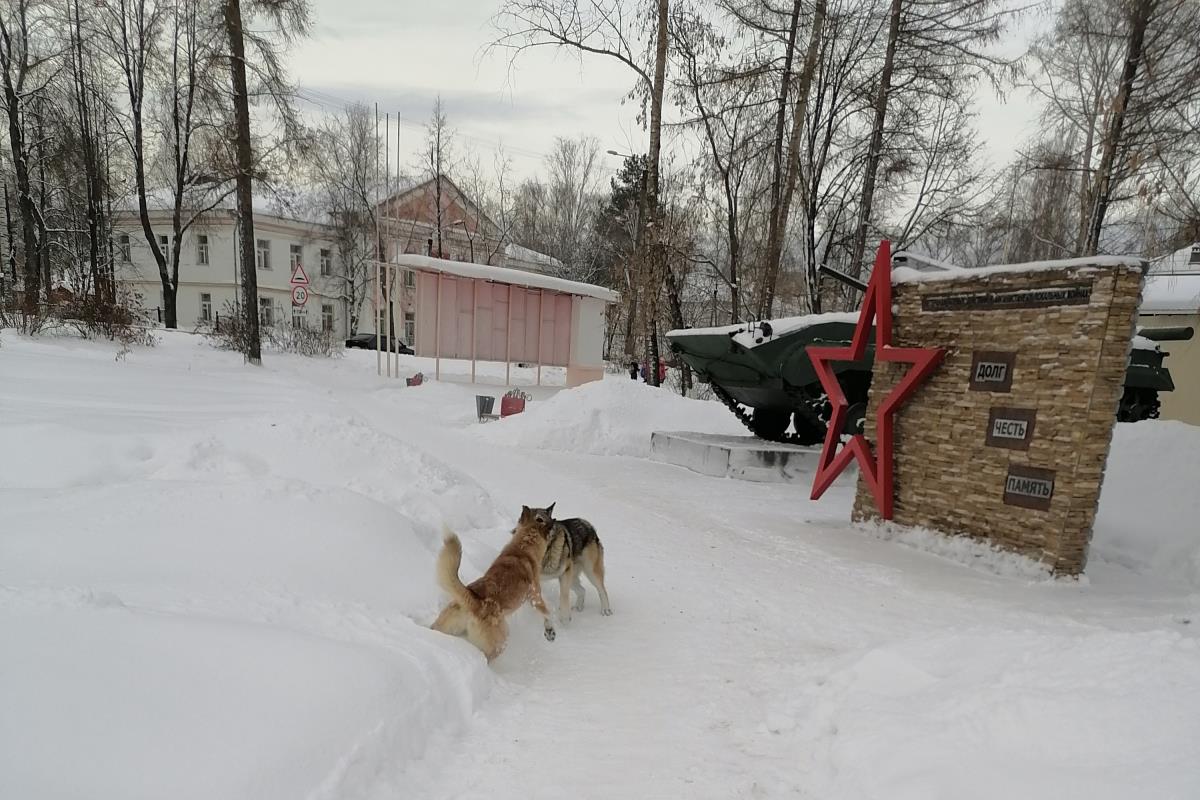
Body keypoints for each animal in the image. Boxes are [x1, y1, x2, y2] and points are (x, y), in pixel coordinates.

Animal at [432, 506, 556, 662]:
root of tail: (474, 602)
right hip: (500, 641)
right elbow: (547, 613)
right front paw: (550, 631)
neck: (524, 545)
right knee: (486, 657)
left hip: (443, 626)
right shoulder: (535, 596)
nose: (555, 521)